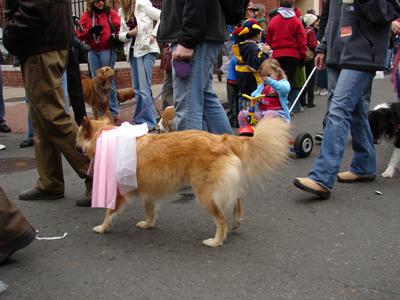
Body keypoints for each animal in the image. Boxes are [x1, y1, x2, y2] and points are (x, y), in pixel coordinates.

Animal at [75, 111, 290, 247]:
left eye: (77, 136)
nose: (76, 148)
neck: (105, 137)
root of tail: (223, 138)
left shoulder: (118, 192)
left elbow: (108, 212)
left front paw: (102, 227)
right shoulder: (149, 191)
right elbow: (149, 210)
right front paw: (147, 224)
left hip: (206, 194)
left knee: (221, 218)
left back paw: (216, 241)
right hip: (219, 187)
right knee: (236, 200)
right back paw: (236, 222)